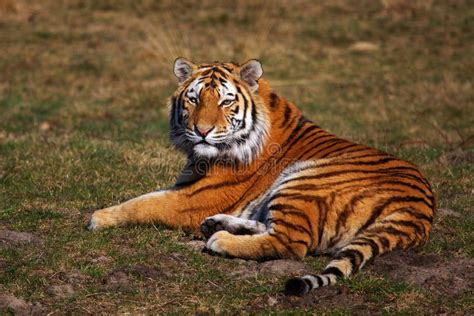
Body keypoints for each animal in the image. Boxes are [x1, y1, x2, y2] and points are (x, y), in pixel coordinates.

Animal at [87, 57, 436, 296]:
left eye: (226, 100)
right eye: (194, 98)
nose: (202, 131)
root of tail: (418, 212)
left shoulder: (194, 199)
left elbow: (143, 203)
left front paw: (99, 217)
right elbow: (148, 196)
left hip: (303, 179)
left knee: (291, 242)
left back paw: (220, 239)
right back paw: (218, 225)